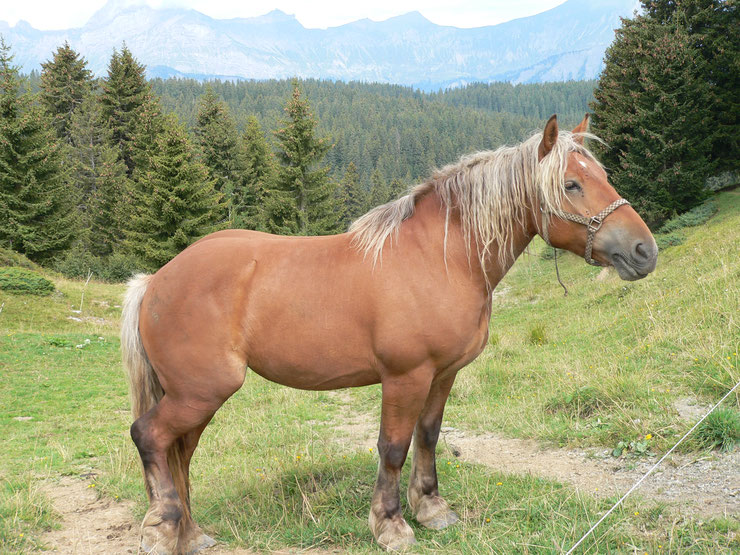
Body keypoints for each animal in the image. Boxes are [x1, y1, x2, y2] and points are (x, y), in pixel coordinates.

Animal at [121, 114, 660, 552]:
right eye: (571, 184)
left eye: (603, 176)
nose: (643, 251)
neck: (441, 258)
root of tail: (156, 280)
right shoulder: (405, 377)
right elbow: (393, 447)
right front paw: (391, 525)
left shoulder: (442, 374)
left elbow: (428, 436)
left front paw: (432, 509)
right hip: (203, 390)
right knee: (149, 437)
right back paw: (162, 529)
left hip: (195, 396)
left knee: (179, 453)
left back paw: (191, 534)